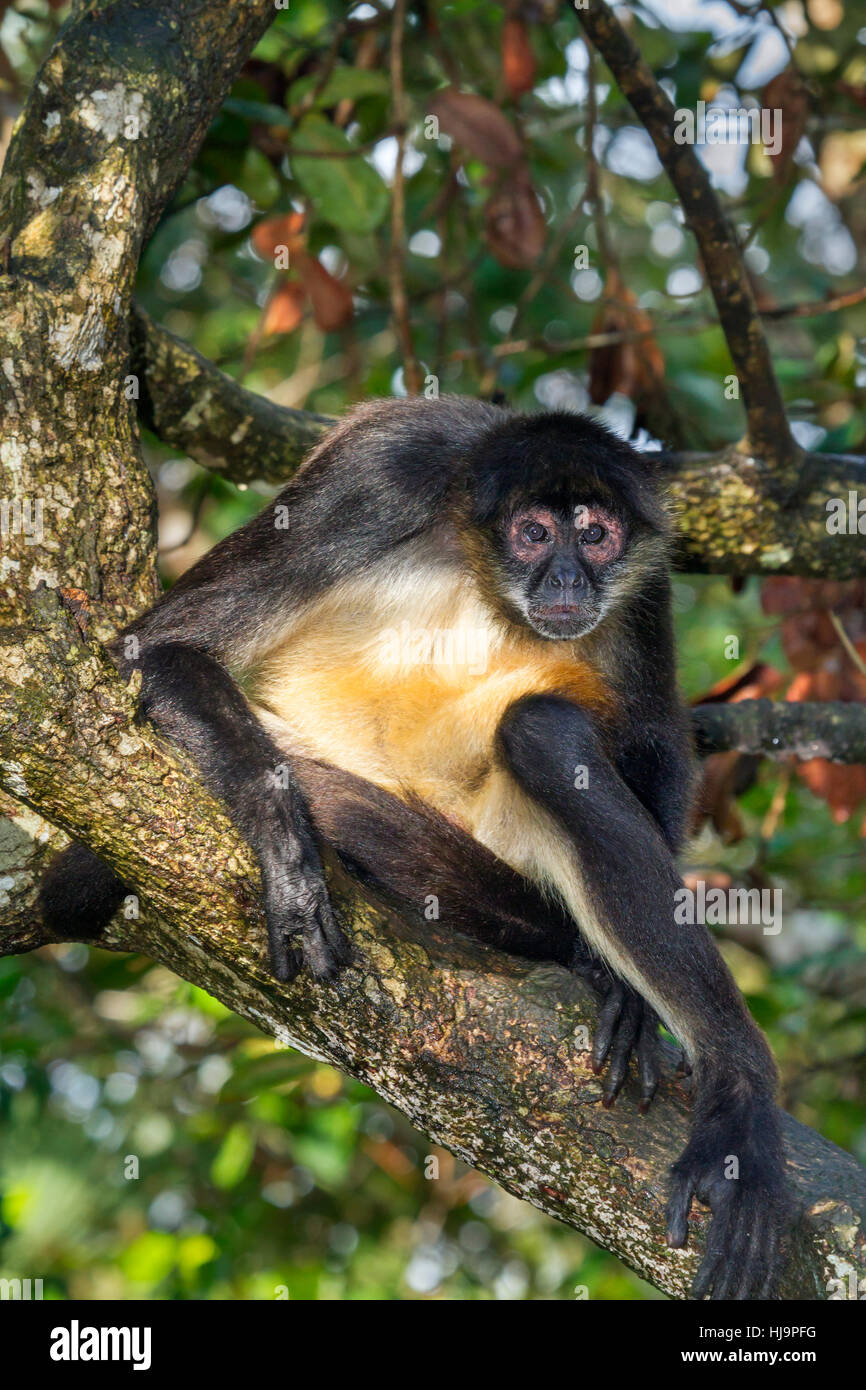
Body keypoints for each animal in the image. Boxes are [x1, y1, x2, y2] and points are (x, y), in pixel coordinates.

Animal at [39, 395, 792, 1300]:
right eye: (534, 534)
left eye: (596, 535)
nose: (568, 581)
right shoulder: (382, 471)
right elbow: (158, 648)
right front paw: (283, 843)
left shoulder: (643, 567)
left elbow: (652, 737)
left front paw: (633, 998)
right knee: (542, 733)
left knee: (545, 735)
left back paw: (728, 1089)